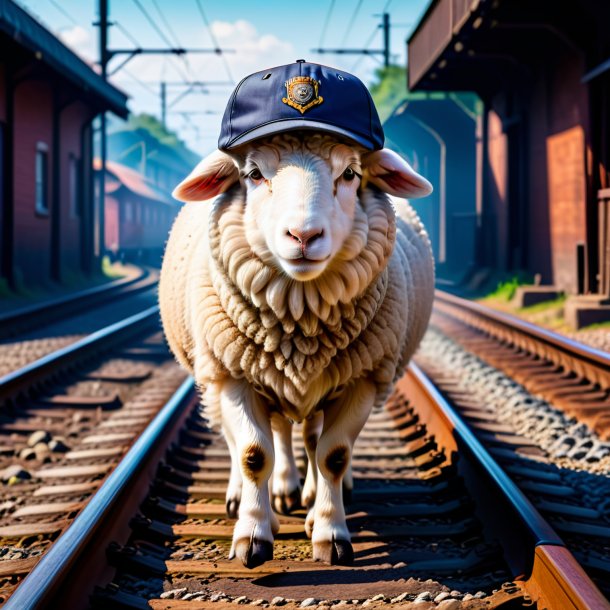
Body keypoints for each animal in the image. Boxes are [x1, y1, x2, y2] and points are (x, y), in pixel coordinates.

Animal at [157, 131, 432, 568]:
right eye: (253, 174)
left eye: (351, 174)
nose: (303, 236)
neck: (299, 320)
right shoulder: (233, 375)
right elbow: (254, 454)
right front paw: (253, 535)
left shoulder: (362, 379)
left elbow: (332, 454)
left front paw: (330, 533)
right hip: (224, 372)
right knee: (261, 435)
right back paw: (264, 496)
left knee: (306, 435)